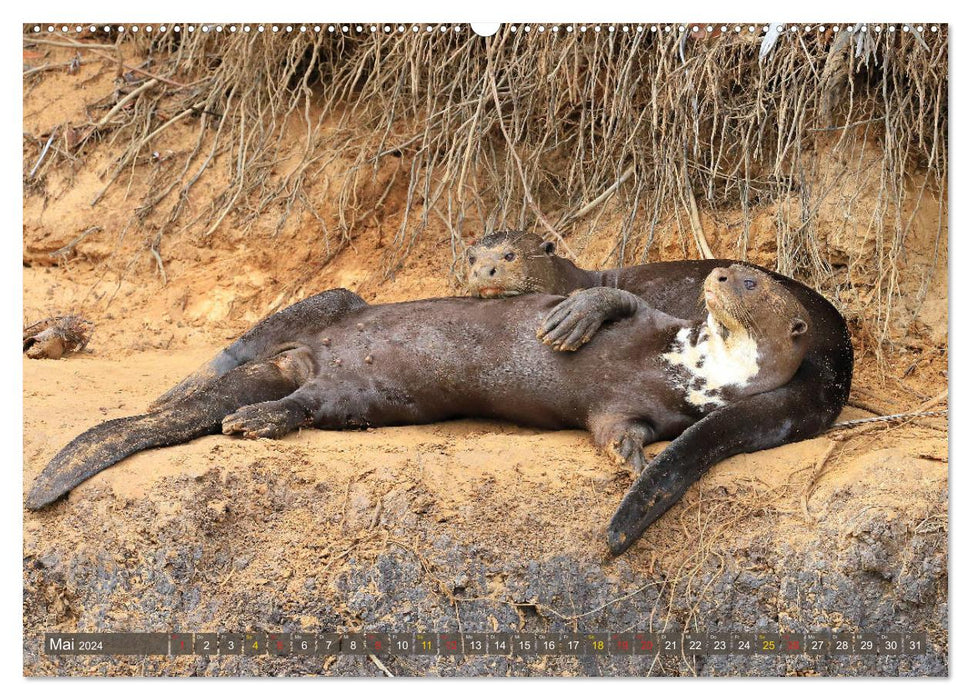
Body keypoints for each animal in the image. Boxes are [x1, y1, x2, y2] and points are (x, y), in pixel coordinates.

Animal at [24, 266, 812, 556]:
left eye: (751, 283)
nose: (718, 272)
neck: (697, 366)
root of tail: (304, 359)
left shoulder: (646, 409)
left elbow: (616, 432)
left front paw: (628, 461)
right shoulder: (657, 321)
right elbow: (611, 296)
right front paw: (570, 319)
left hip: (356, 395)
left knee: (308, 404)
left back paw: (256, 420)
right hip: (332, 306)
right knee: (248, 349)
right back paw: (195, 393)